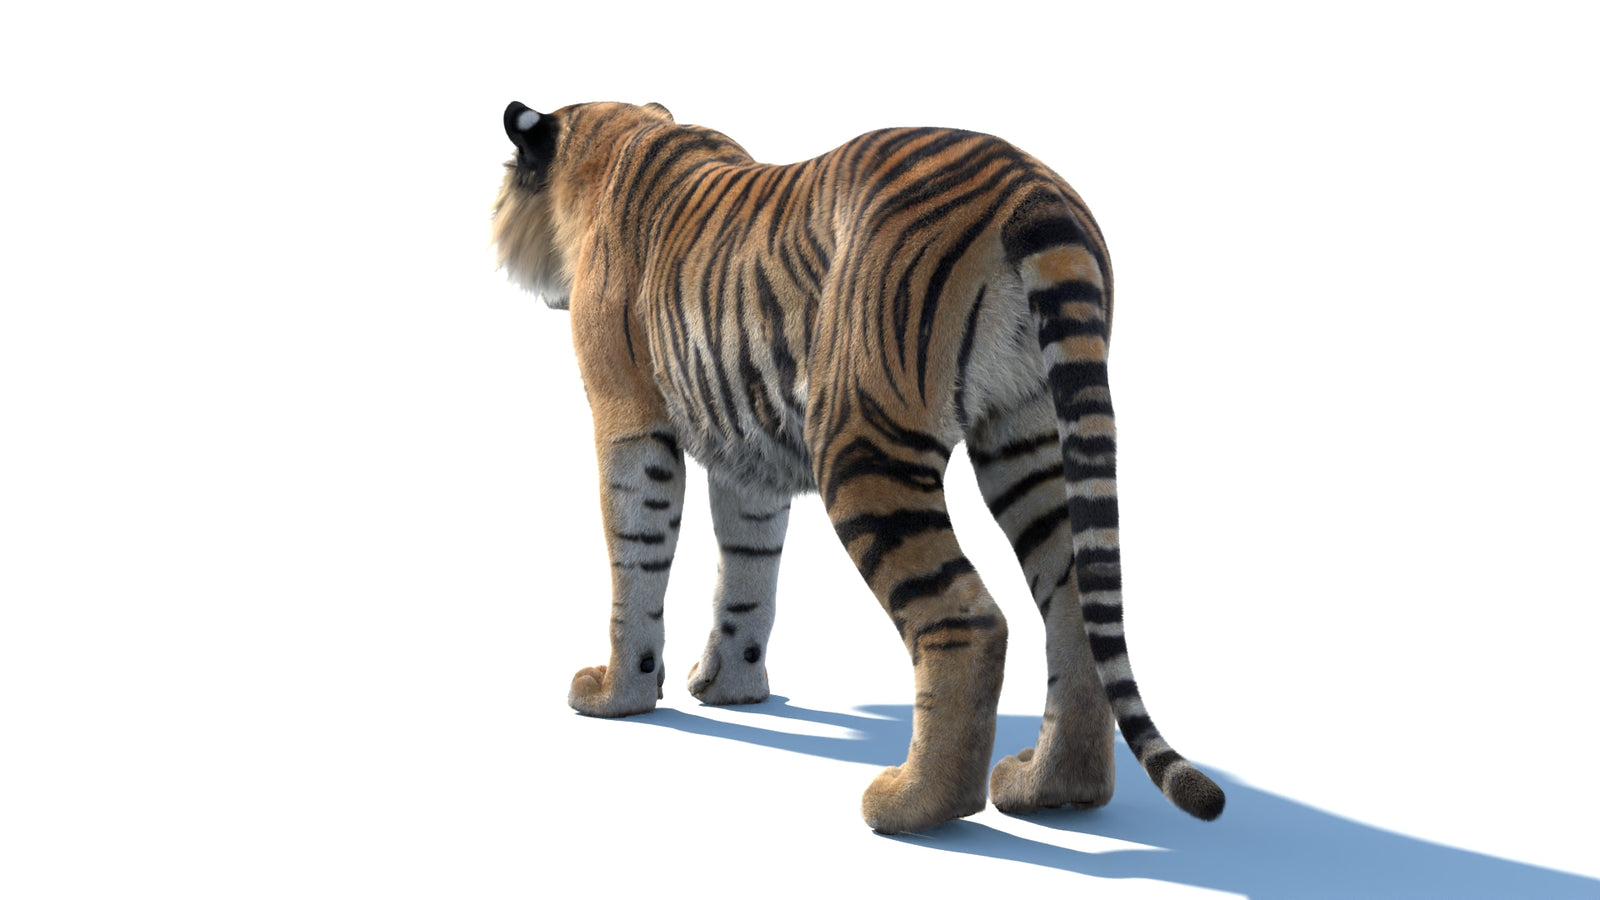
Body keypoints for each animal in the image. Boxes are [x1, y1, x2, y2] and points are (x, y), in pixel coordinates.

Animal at [491, 99, 1225, 834]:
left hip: (861, 436)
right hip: (1032, 436)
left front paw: (619, 693)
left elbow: (636, 560)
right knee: (1073, 608)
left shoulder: (628, 420)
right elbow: (748, 571)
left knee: (969, 620)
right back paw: (1048, 788)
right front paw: (733, 688)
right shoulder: (745, 452)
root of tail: (1029, 185)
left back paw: (913, 805)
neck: (616, 140)